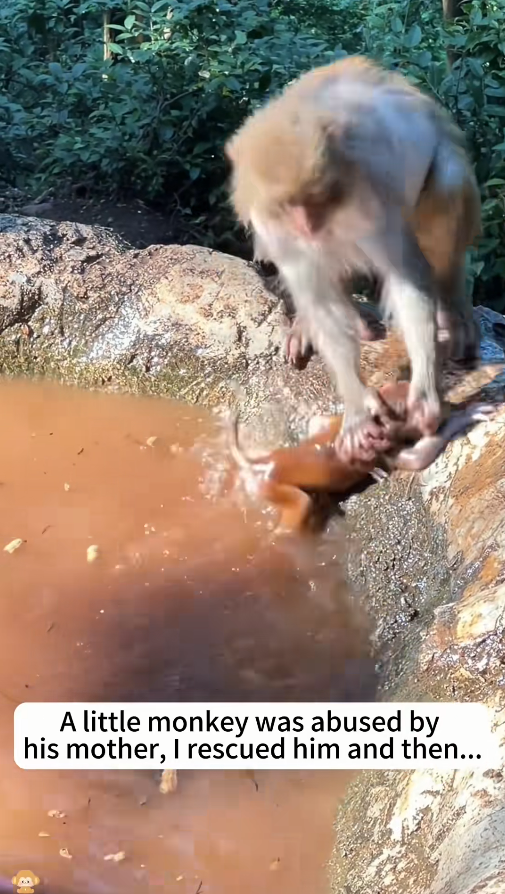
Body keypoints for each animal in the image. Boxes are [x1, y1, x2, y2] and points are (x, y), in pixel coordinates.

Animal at [225, 56, 481, 464]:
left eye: (317, 197)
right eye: (289, 205)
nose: (308, 225)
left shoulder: (372, 199)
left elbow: (407, 278)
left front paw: (425, 395)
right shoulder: (275, 228)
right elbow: (317, 297)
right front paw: (358, 408)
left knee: (447, 182)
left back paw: (452, 307)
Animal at [229, 381, 494, 534]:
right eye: (413, 409)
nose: (445, 404)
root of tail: (261, 462)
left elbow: (318, 423)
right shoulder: (388, 449)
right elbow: (417, 458)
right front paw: (464, 416)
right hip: (272, 488)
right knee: (298, 508)